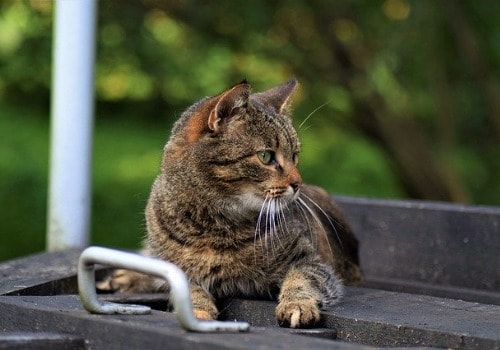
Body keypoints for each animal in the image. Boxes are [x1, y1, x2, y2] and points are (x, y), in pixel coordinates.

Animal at [99, 78, 362, 326]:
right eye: (265, 156)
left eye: (294, 156)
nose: (298, 183)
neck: (215, 225)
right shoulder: (177, 268)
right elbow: (185, 288)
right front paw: (198, 311)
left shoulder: (310, 260)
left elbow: (302, 279)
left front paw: (297, 305)